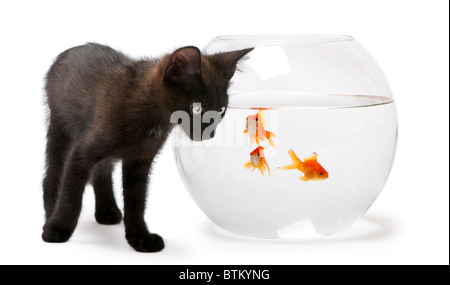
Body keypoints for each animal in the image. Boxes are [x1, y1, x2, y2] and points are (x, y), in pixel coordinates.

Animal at [42, 42, 253, 251]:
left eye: (221, 110)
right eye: (197, 108)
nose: (210, 133)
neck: (148, 111)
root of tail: (70, 50)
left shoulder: (140, 160)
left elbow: (136, 201)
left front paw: (140, 237)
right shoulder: (83, 150)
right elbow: (71, 192)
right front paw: (58, 228)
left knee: (102, 171)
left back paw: (107, 210)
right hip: (59, 127)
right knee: (54, 173)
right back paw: (51, 212)